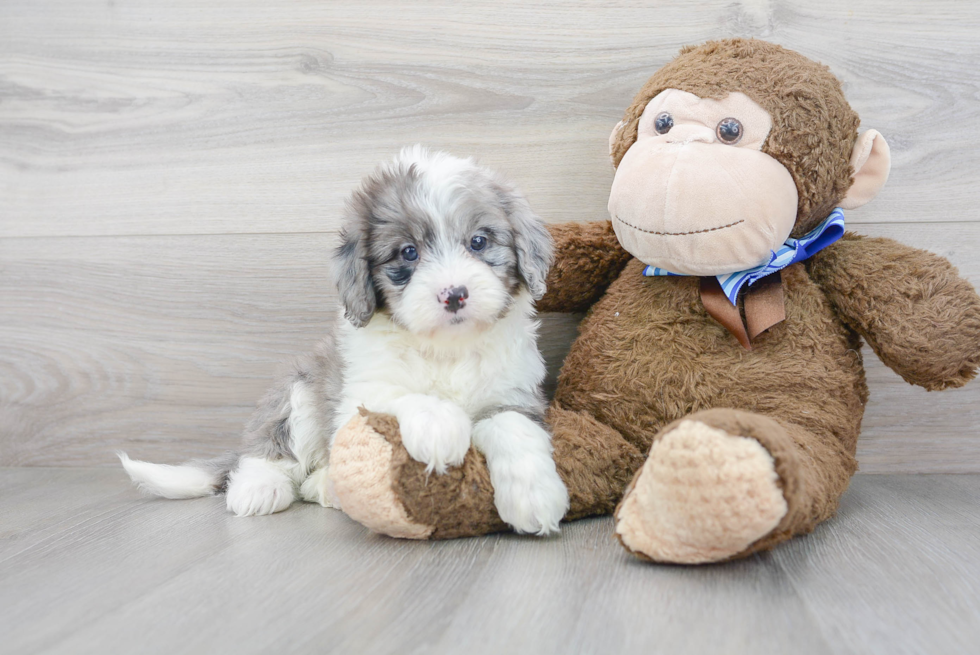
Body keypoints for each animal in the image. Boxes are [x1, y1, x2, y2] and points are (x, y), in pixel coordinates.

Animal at [119, 149, 572, 540]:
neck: (446, 349)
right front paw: (439, 424)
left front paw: (534, 497)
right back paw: (259, 487)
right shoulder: (359, 390)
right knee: (268, 449)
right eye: (408, 253)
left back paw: (325, 486)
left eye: (479, 241)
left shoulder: (514, 393)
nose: (455, 294)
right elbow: (401, 396)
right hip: (299, 391)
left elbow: (514, 428)